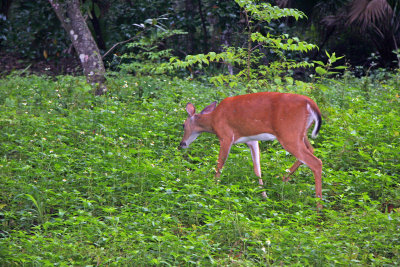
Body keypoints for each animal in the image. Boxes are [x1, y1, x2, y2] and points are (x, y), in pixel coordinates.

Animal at [180, 91, 324, 208]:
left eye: (183, 125)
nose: (181, 144)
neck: (213, 119)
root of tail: (310, 103)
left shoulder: (226, 136)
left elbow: (220, 164)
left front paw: (213, 188)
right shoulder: (252, 140)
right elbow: (257, 168)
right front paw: (264, 195)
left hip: (289, 134)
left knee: (316, 162)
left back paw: (319, 207)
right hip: (301, 134)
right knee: (311, 150)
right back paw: (281, 180)